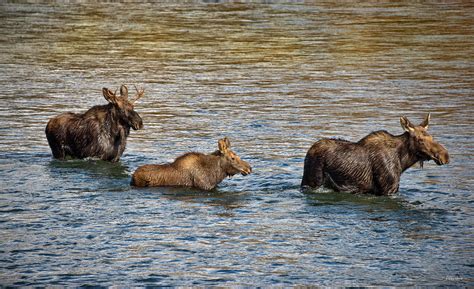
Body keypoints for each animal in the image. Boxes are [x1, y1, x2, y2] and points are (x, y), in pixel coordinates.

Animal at [302, 113, 450, 195]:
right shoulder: (388, 189)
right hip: (312, 181)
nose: (445, 156)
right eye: (420, 140)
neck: (402, 161)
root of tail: (308, 152)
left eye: (431, 137)